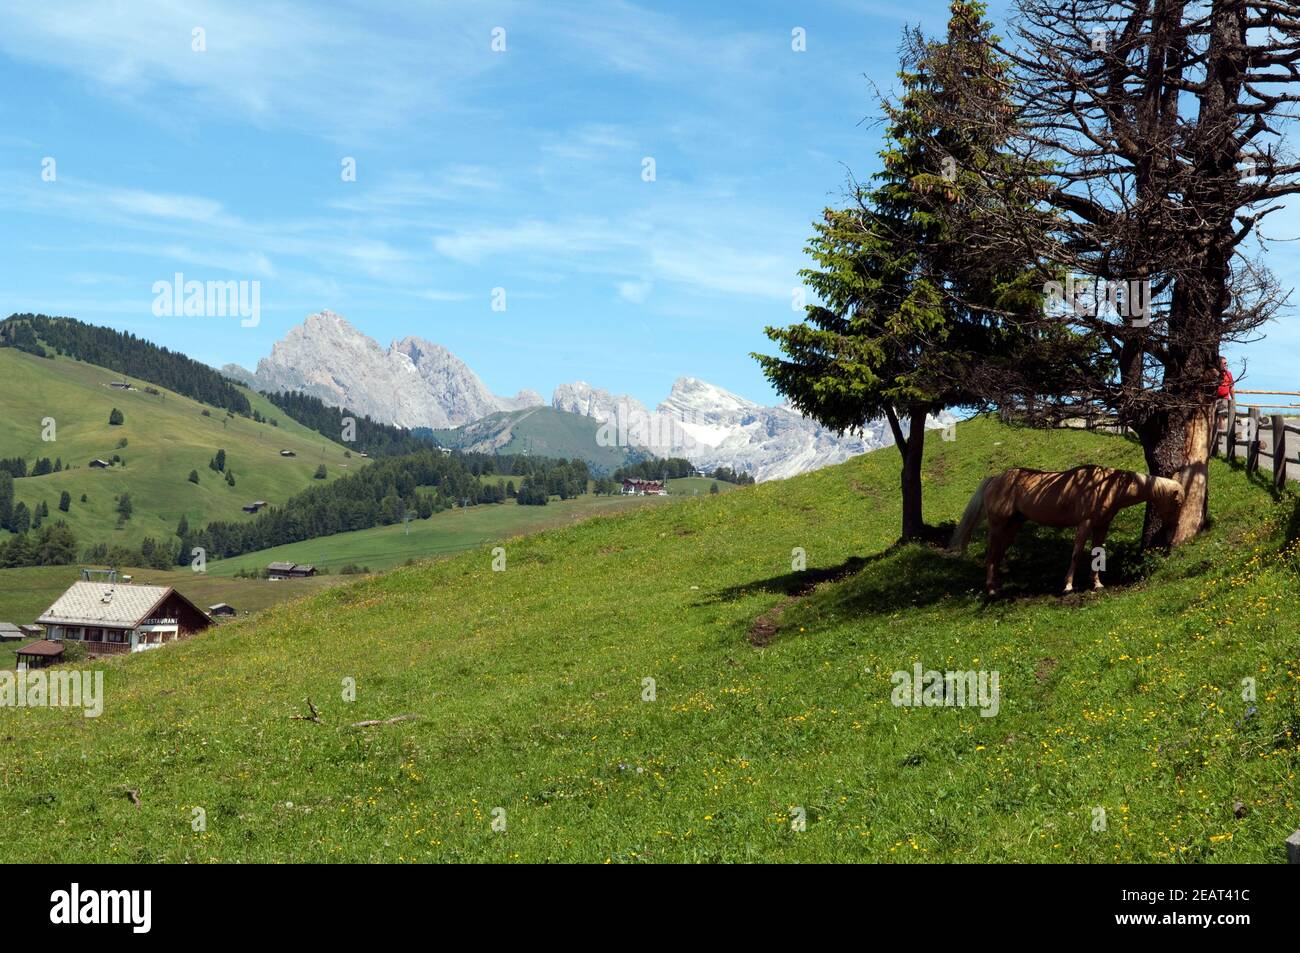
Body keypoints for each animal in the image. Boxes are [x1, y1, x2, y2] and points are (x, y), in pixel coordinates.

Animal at [951, 462, 1185, 590]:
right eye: (1177, 503)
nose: (1173, 531)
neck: (1105, 485)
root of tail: (994, 479)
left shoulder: (1102, 526)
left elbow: (1097, 553)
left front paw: (1097, 583)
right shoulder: (1085, 523)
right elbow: (1076, 553)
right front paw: (1068, 585)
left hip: (1012, 525)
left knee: (998, 553)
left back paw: (997, 584)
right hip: (998, 525)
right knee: (991, 552)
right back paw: (991, 589)